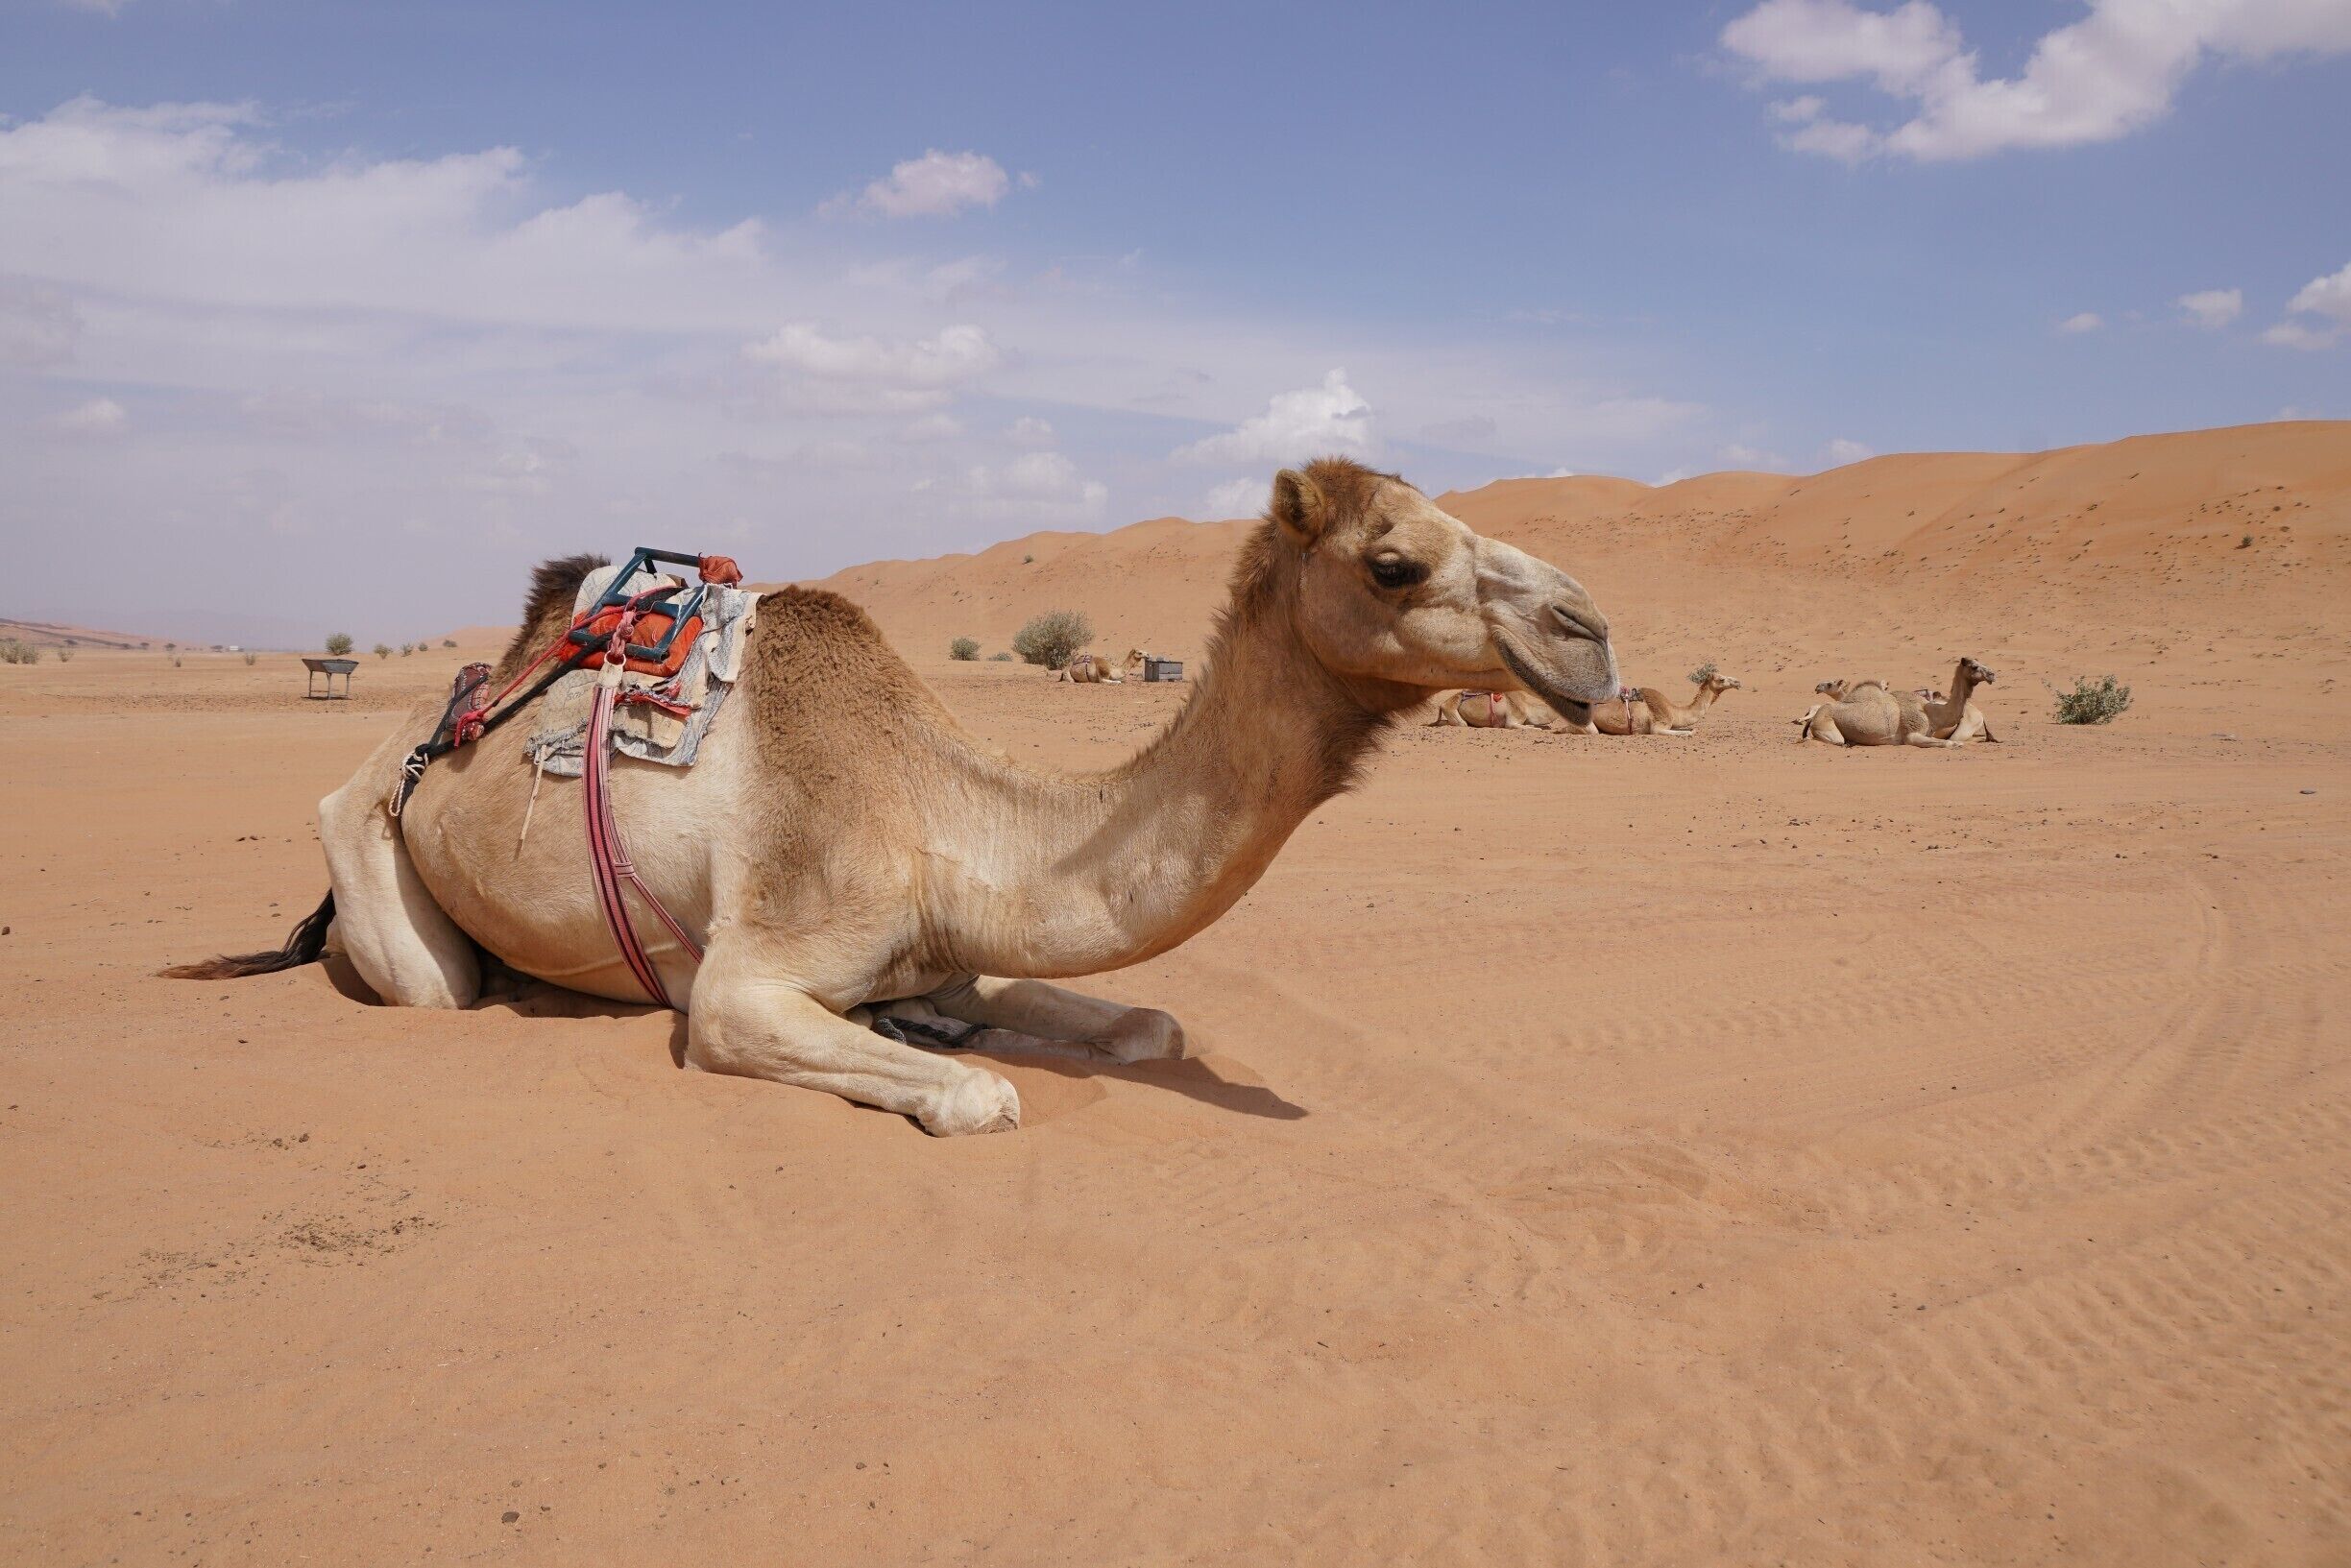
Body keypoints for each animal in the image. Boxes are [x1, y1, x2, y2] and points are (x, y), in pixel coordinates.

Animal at [168, 459, 1620, 1135]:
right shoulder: (747, 982)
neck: (946, 822)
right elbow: (980, 1094)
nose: (1592, 633)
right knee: (428, 978)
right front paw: (955, 1068)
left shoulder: (954, 950)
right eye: (1393, 560)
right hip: (369, 841)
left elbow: (1142, 1022)